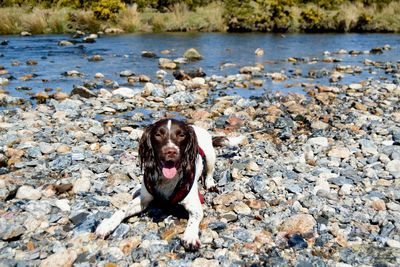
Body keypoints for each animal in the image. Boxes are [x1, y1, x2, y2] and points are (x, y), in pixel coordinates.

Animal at [95, 119, 244, 251]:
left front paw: (190, 236)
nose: (171, 151)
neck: (166, 180)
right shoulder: (144, 199)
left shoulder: (194, 205)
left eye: (181, 135)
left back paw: (210, 184)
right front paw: (107, 224)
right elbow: (123, 209)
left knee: (209, 173)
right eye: (158, 134)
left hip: (210, 155)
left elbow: (194, 219)